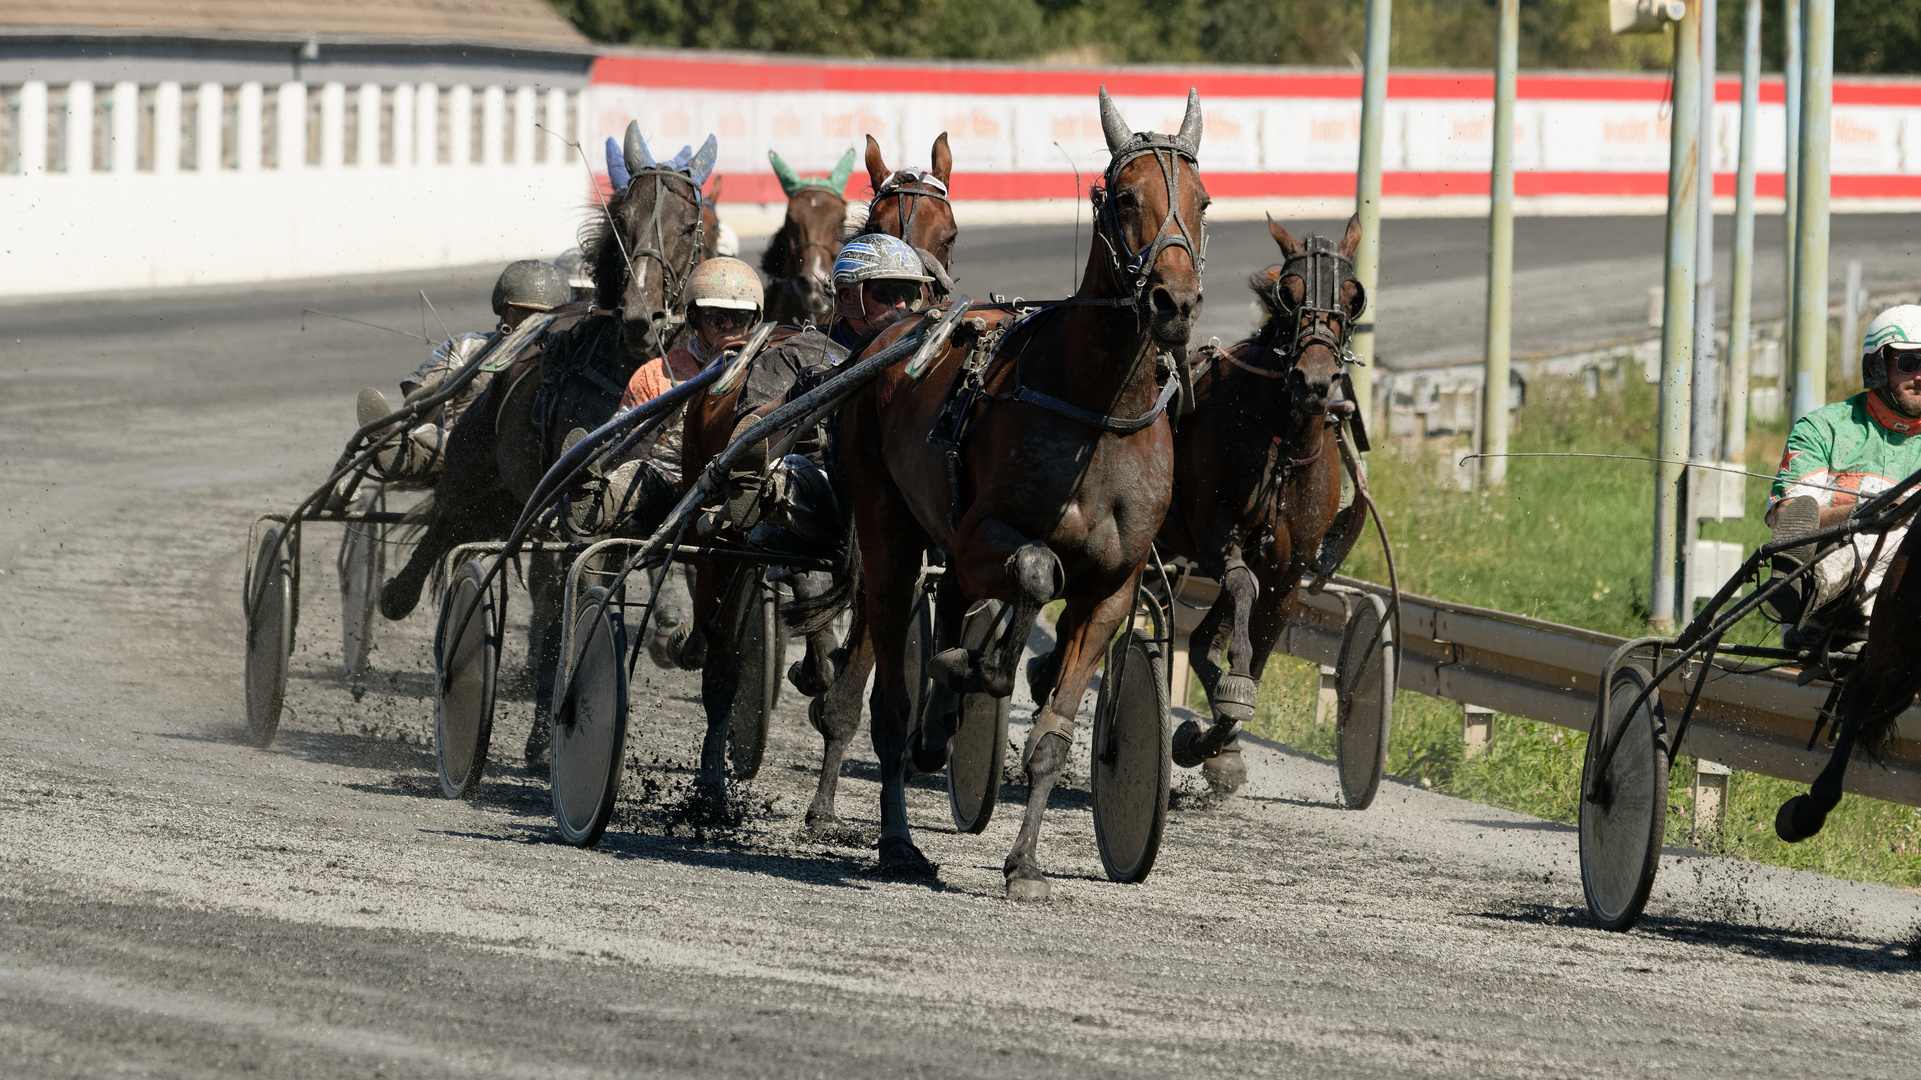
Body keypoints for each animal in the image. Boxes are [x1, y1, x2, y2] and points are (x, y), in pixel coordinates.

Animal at [374, 119, 714, 757]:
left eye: (688, 224)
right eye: (621, 218)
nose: (643, 317)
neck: (622, 372)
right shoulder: (569, 511)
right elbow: (560, 613)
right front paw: (543, 735)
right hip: (479, 470)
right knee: (449, 526)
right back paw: (398, 595)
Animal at [829, 90, 1214, 891]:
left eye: (1202, 200)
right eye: (1124, 198)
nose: (1175, 302)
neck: (1098, 408)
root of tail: (895, 330)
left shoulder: (1113, 585)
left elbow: (1054, 731)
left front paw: (1025, 864)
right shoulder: (982, 534)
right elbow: (1036, 569)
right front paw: (972, 669)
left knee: (954, 605)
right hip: (885, 524)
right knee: (890, 681)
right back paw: (898, 833)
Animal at [1152, 219, 1367, 791]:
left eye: (1352, 296)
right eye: (1287, 293)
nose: (1314, 381)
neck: (1283, 445)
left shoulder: (1288, 571)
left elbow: (1254, 636)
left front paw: (1216, 743)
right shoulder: (1214, 533)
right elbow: (1241, 589)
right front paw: (1228, 700)